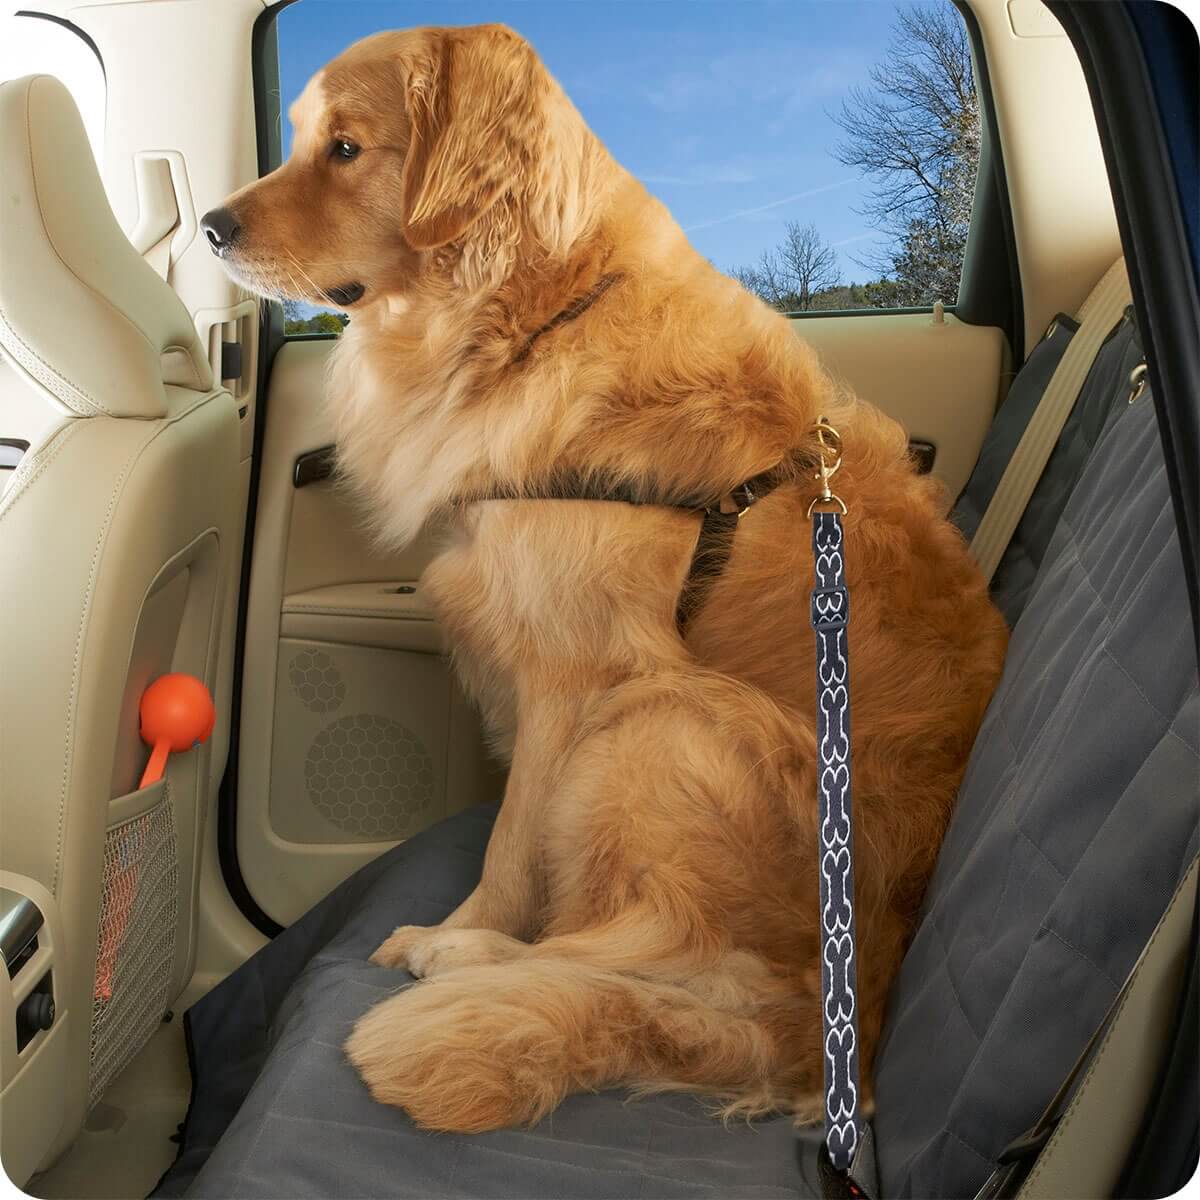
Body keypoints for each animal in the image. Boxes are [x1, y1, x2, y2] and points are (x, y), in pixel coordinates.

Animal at [204, 25, 1003, 1132]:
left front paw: (460, 926)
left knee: (661, 959)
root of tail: (849, 1033)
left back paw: (465, 960)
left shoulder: (572, 678)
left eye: (348, 148)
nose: (210, 227)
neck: (535, 316)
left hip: (666, 718)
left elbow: (512, 847)